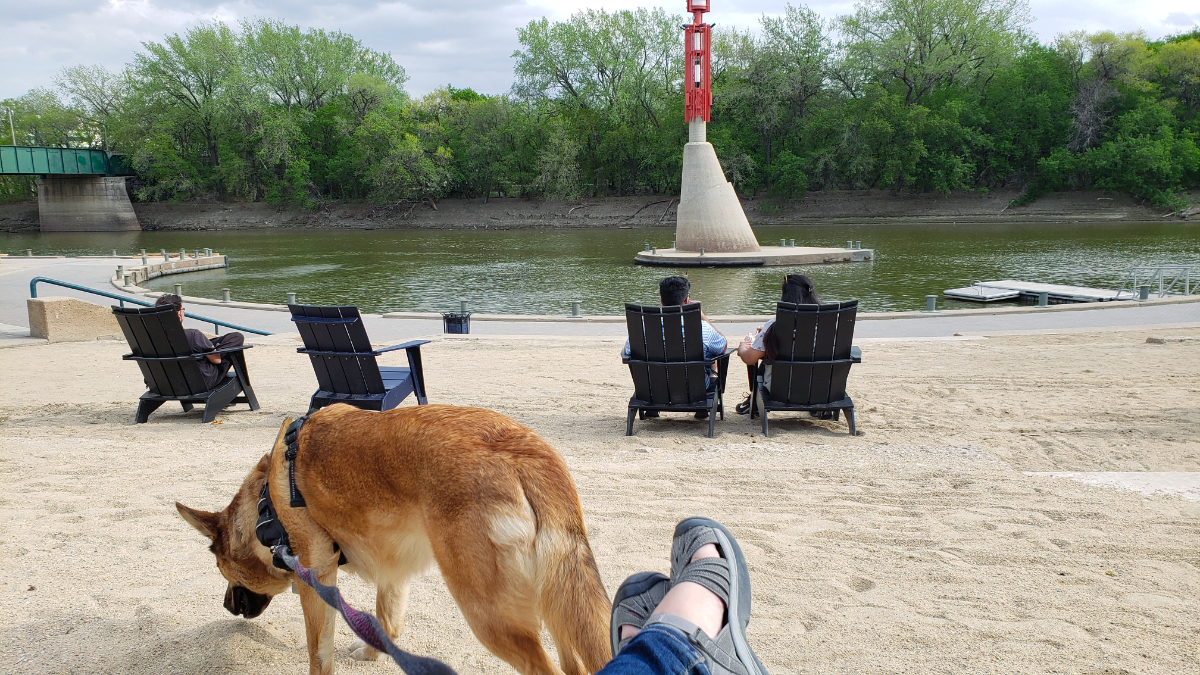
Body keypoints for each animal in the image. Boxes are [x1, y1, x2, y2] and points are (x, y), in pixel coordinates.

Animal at [175, 401, 619, 672]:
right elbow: (386, 622)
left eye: (224, 573)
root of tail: (523, 452)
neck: (268, 504)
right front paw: (373, 653)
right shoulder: (393, 569)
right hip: (557, 601)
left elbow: (319, 654)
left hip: (490, 615)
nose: (226, 606)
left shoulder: (317, 577)